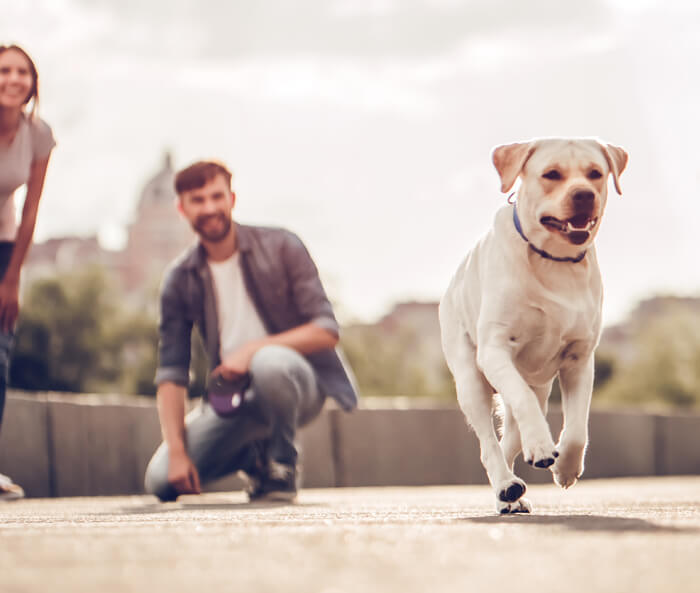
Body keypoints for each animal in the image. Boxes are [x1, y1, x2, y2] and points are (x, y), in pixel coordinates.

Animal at [440, 136, 628, 512]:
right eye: (552, 174)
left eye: (595, 174)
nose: (584, 194)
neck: (554, 261)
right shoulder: (495, 349)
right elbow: (523, 402)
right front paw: (541, 446)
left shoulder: (579, 359)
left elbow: (577, 428)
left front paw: (566, 467)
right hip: (470, 380)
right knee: (490, 443)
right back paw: (507, 486)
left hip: (535, 390)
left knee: (509, 440)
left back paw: (509, 495)